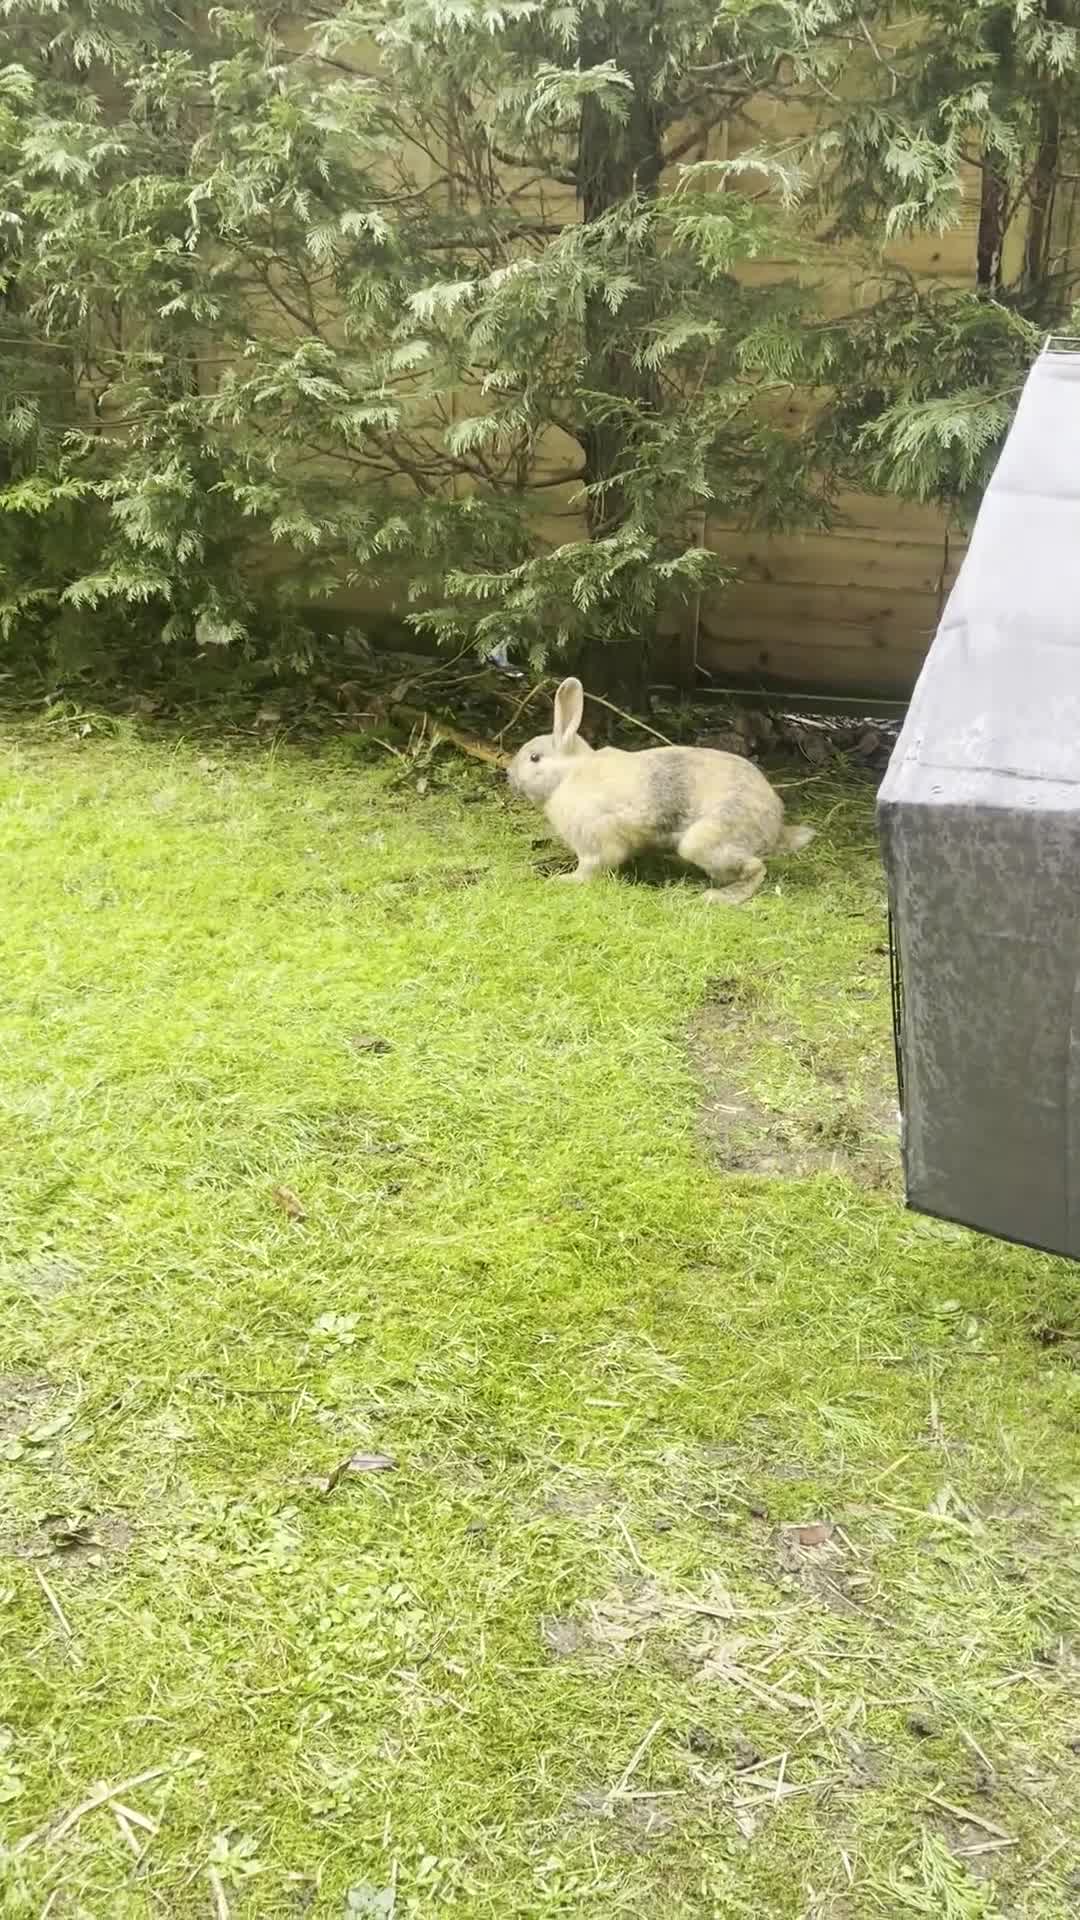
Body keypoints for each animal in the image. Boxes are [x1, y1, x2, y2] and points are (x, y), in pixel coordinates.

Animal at [507, 676, 815, 904]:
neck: (568, 775)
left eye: (534, 758)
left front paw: (566, 880)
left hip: (705, 842)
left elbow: (592, 867)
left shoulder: (595, 843)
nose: (509, 774)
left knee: (756, 869)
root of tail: (775, 829)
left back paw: (718, 897)